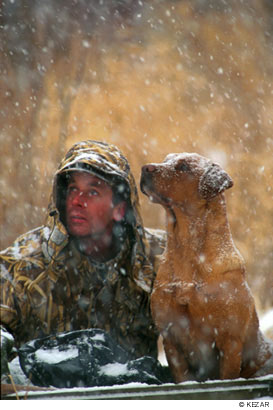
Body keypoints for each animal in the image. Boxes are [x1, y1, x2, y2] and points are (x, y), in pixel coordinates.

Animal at [141, 152, 270, 382]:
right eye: (166, 160)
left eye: (183, 166)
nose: (145, 168)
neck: (187, 251)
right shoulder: (171, 338)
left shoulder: (230, 341)